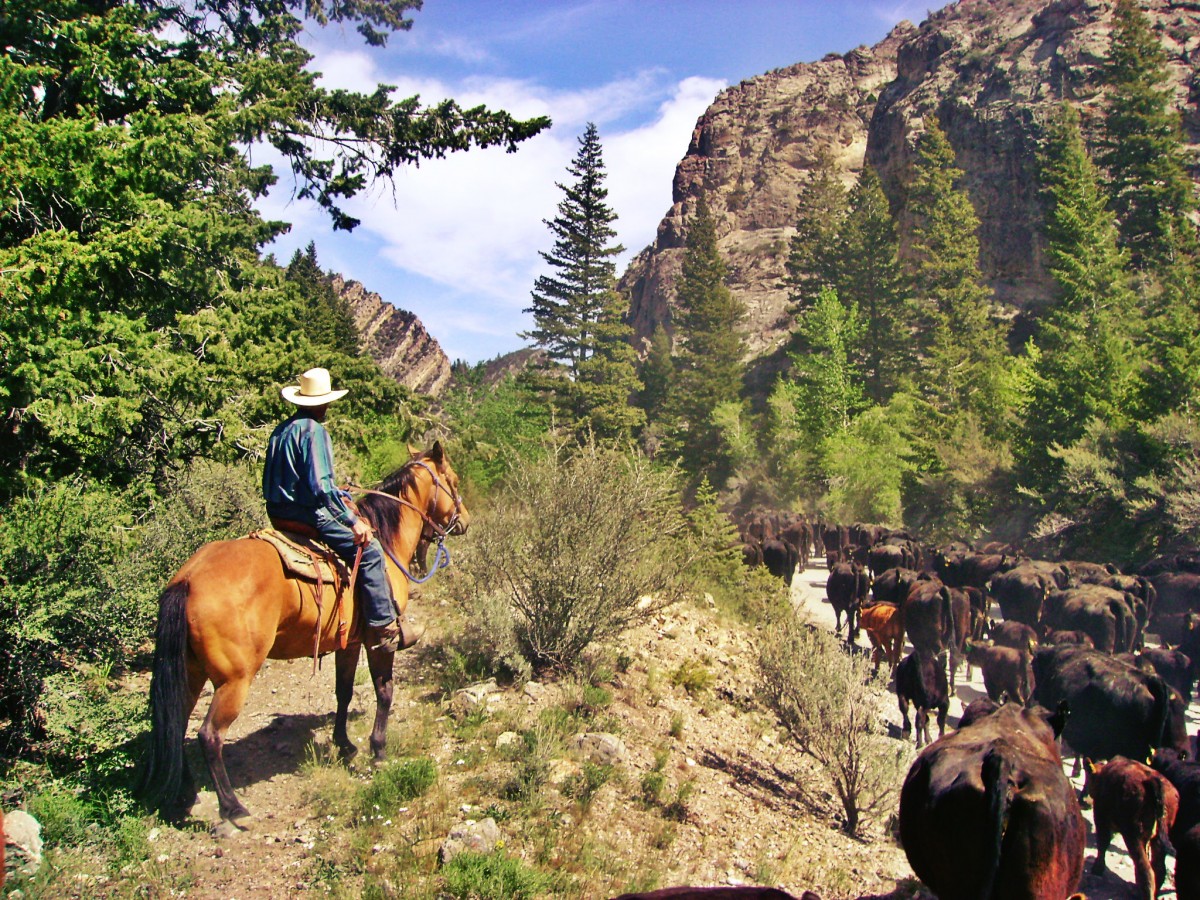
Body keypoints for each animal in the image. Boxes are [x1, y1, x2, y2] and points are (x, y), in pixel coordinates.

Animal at [140, 441, 468, 825]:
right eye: (453, 481)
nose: (464, 521)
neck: (385, 541)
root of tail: (188, 579)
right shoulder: (378, 641)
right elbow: (384, 692)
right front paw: (378, 750)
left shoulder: (348, 642)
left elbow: (343, 693)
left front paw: (345, 745)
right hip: (234, 680)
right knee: (209, 735)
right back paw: (233, 809)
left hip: (191, 673)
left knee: (177, 725)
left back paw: (186, 794)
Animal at [1084, 763, 1176, 900]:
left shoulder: (1100, 817)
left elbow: (1103, 843)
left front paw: (1097, 869)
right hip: (1156, 840)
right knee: (1158, 869)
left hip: (1133, 836)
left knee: (1146, 870)